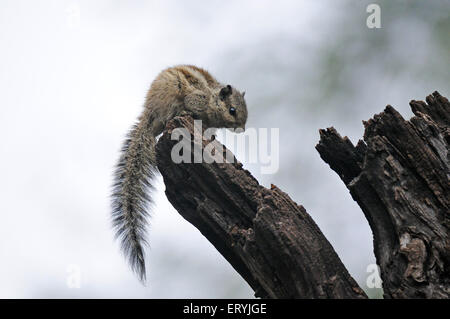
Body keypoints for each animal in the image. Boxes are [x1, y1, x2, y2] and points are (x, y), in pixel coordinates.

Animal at [110, 64, 248, 282]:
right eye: (232, 110)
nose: (242, 129)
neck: (211, 98)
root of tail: (148, 114)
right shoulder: (197, 99)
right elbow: (192, 106)